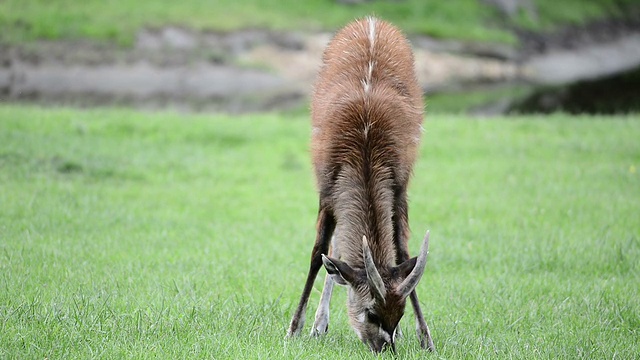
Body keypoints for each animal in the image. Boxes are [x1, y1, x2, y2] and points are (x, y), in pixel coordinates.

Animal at [288, 16, 436, 352]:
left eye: (400, 312)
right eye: (371, 312)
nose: (385, 348)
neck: (366, 146)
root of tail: (371, 20)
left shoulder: (399, 189)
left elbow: (403, 254)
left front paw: (426, 337)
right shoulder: (327, 191)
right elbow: (318, 252)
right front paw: (293, 328)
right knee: (333, 250)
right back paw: (318, 325)